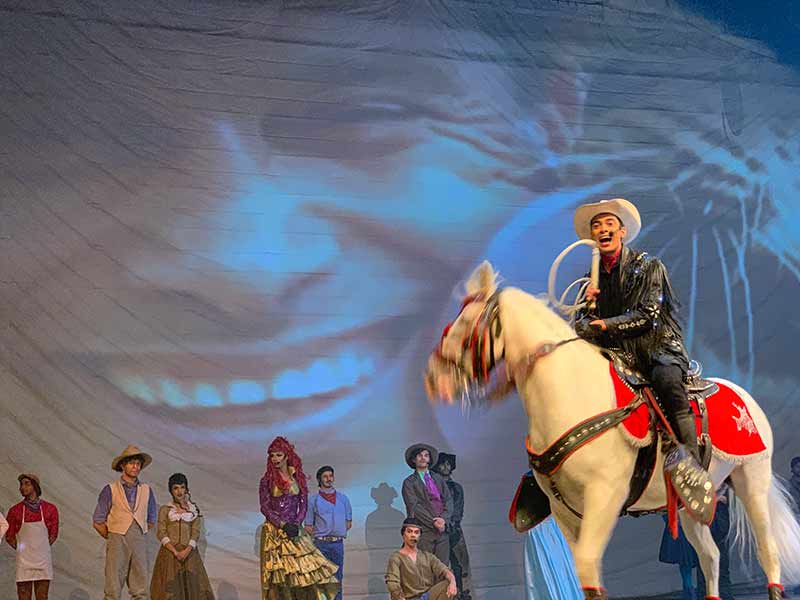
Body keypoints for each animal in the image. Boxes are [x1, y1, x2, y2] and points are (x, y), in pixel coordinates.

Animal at [428, 262, 800, 600]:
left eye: (468, 323)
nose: (434, 379)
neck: (571, 392)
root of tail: (744, 397)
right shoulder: (566, 511)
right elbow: (585, 574)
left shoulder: (604, 496)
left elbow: (588, 568)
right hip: (691, 504)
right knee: (710, 557)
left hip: (752, 479)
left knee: (767, 552)